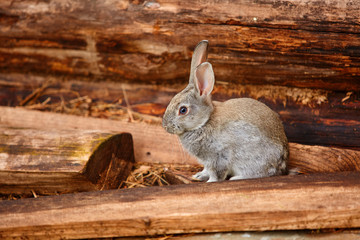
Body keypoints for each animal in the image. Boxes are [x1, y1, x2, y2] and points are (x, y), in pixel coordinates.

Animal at [162, 40, 288, 182]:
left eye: (183, 110)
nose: (165, 126)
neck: (204, 122)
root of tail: (283, 163)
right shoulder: (208, 162)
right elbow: (206, 170)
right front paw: (199, 176)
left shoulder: (219, 155)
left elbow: (216, 173)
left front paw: (210, 181)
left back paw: (237, 178)